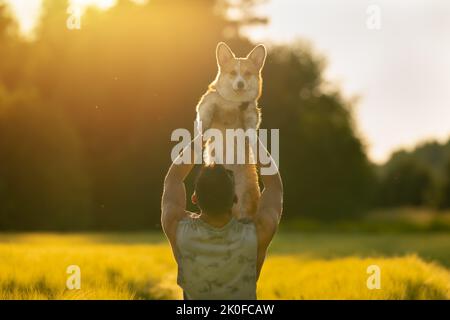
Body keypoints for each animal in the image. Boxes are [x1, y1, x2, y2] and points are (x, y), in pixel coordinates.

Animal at [196, 42, 268, 219]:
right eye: (233, 73)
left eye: (247, 74)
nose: (240, 83)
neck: (233, 102)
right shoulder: (207, 102)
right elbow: (206, 111)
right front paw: (202, 128)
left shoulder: (252, 112)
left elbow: (251, 125)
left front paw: (251, 136)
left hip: (245, 200)